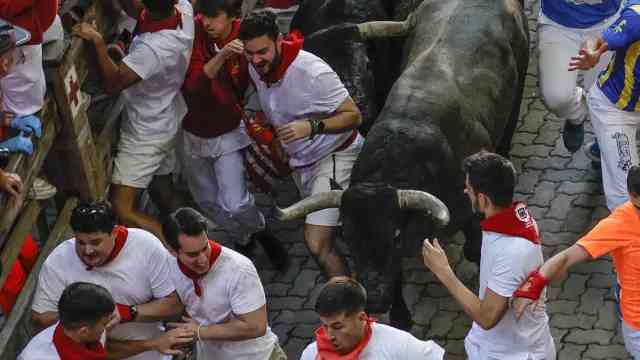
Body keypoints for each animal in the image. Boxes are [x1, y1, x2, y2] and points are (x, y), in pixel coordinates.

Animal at [278, 0, 528, 324]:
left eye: (395, 236)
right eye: (348, 236)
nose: (373, 299)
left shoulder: (470, 209)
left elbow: (475, 247)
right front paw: (400, 316)